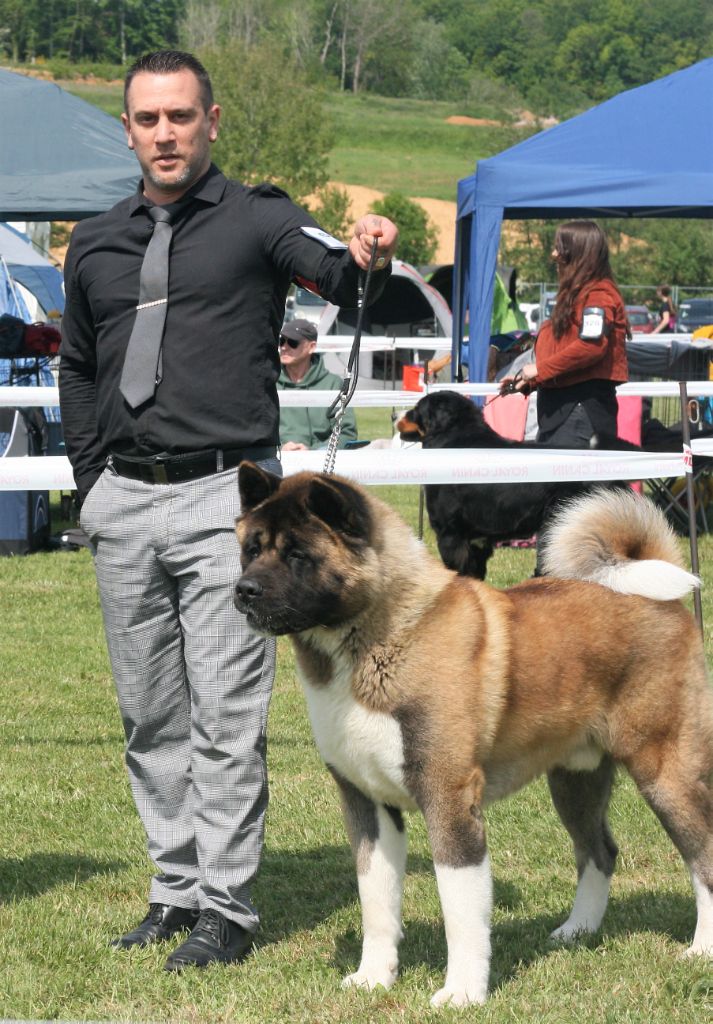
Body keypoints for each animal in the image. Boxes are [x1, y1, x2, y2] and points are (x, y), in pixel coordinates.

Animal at [234, 463, 713, 1008]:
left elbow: (461, 912)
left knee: (702, 855)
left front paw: (462, 993)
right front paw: (373, 978)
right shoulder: (366, 803)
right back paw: (577, 931)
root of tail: (650, 592)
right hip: (575, 780)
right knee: (600, 851)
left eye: (298, 554)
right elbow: (377, 902)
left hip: (666, 772)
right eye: (251, 548)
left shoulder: (448, 799)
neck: (379, 638)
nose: (244, 589)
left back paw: (700, 950)